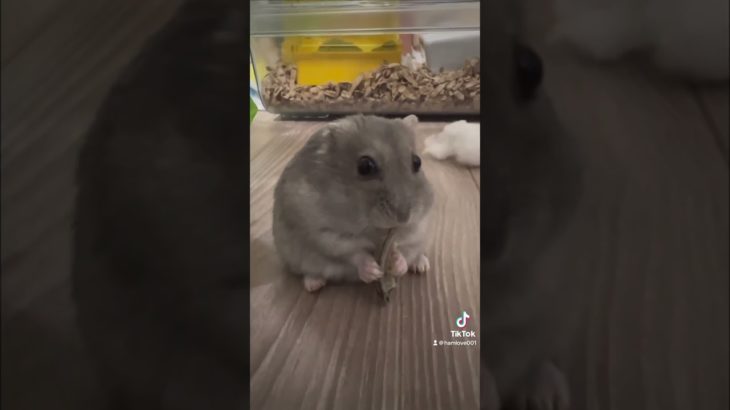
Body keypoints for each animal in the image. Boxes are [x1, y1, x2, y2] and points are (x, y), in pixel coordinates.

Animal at [272, 114, 435, 292]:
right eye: (365, 166)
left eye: (417, 162)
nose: (403, 217)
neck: (376, 232)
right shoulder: (326, 235)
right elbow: (354, 253)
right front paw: (374, 272)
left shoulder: (419, 227)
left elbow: (405, 248)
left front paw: (397, 264)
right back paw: (314, 284)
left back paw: (422, 266)